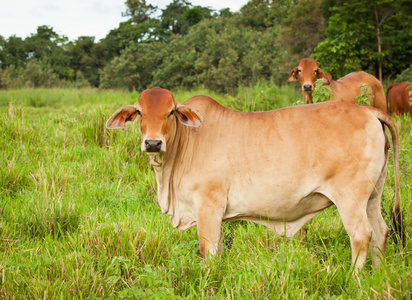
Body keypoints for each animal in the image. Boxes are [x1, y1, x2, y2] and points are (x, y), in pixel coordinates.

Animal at [106, 86, 402, 270]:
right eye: (140, 112)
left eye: (170, 112)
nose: (153, 143)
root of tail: (368, 111)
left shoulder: (208, 206)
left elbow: (208, 253)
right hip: (372, 196)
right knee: (380, 232)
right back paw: (377, 276)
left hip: (351, 198)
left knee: (361, 235)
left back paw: (353, 280)